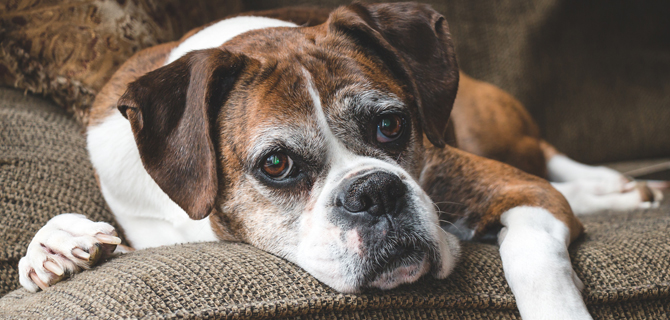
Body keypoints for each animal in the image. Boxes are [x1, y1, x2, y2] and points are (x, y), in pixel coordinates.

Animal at [15, 3, 660, 320]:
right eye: (276, 164)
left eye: (392, 125)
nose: (375, 192)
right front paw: (58, 250)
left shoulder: (519, 191)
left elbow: (532, 256)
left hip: (493, 130)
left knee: (547, 155)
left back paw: (616, 187)